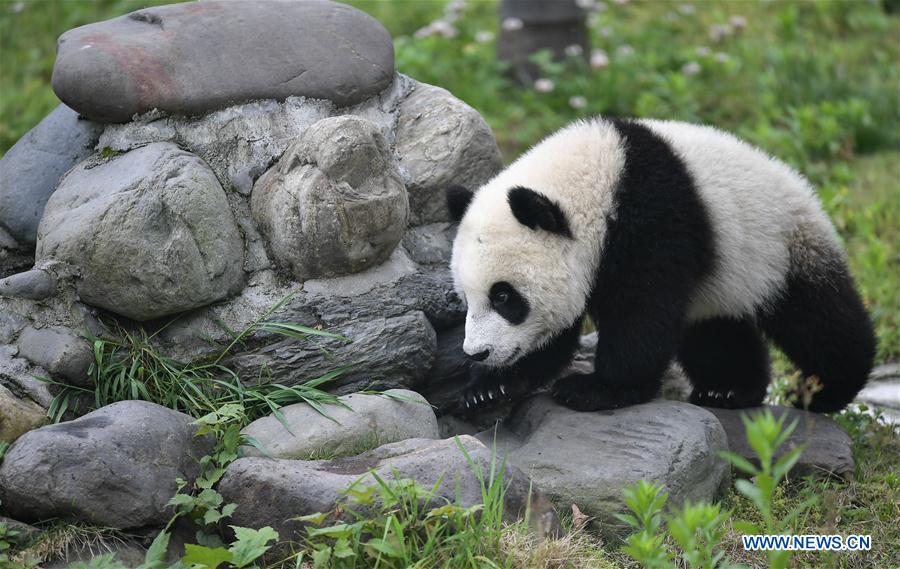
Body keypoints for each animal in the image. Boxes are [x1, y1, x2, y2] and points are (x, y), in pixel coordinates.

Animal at [446, 118, 876, 412]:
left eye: (504, 297)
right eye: (467, 299)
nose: (477, 353)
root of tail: (804, 190)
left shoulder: (656, 222)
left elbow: (641, 313)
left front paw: (596, 389)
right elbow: (556, 335)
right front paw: (488, 388)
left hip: (781, 247)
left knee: (818, 319)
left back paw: (822, 391)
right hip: (724, 282)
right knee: (716, 334)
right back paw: (729, 389)